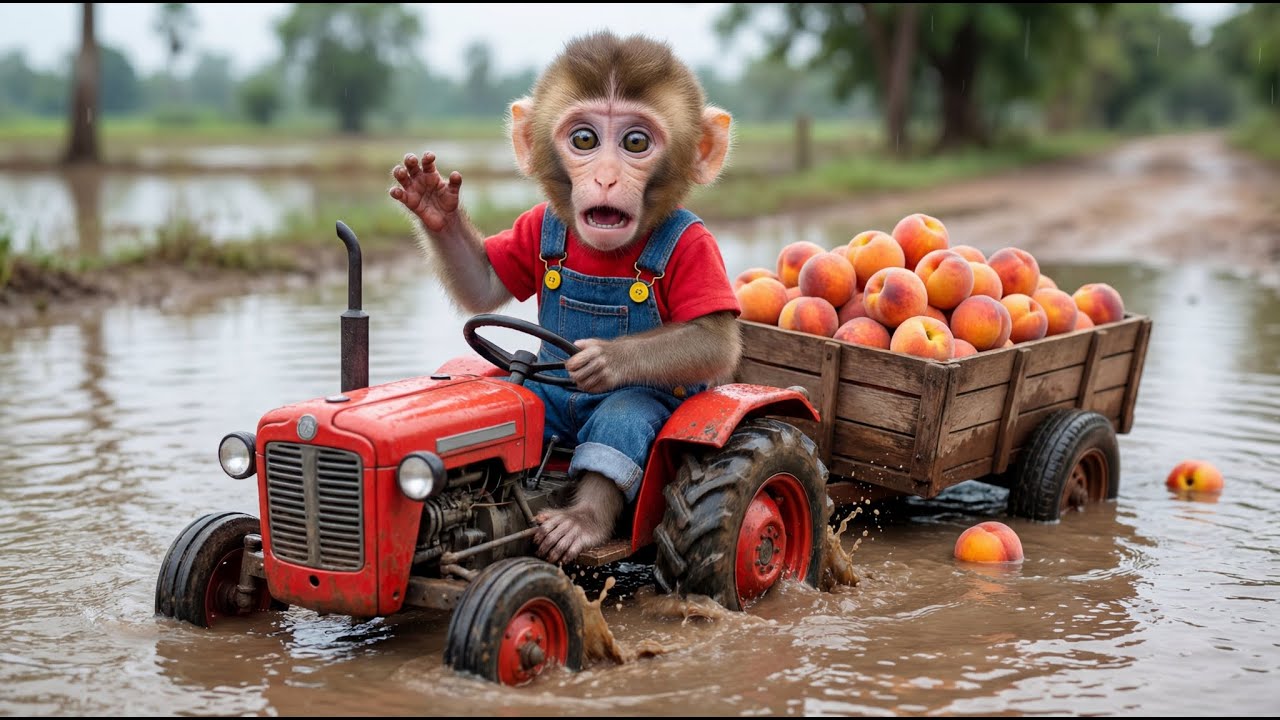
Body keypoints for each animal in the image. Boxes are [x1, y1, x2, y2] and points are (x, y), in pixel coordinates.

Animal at [389, 31, 741, 565]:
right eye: (584, 140)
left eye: (635, 142)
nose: (606, 178)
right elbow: (483, 283)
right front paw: (433, 202)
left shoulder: (697, 246)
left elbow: (715, 337)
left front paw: (602, 360)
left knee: (622, 424)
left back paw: (580, 523)